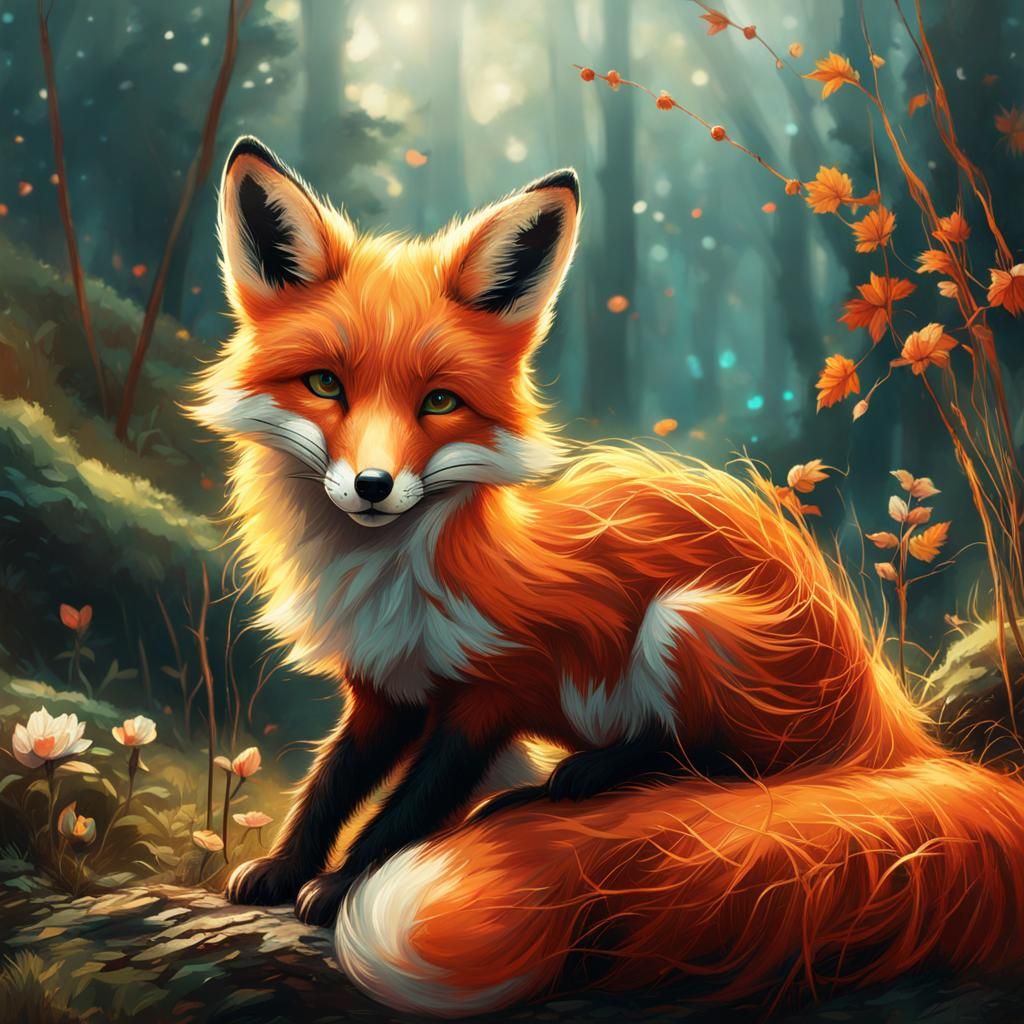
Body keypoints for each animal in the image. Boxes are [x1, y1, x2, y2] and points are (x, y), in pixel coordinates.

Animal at [191, 135, 1024, 1017]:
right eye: (326, 384)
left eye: (440, 402)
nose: (373, 487)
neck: (394, 580)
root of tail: (887, 720)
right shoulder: (384, 689)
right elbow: (330, 786)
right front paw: (285, 868)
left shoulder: (495, 690)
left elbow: (407, 807)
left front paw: (342, 883)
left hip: (687, 621)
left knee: (732, 773)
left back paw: (581, 780)